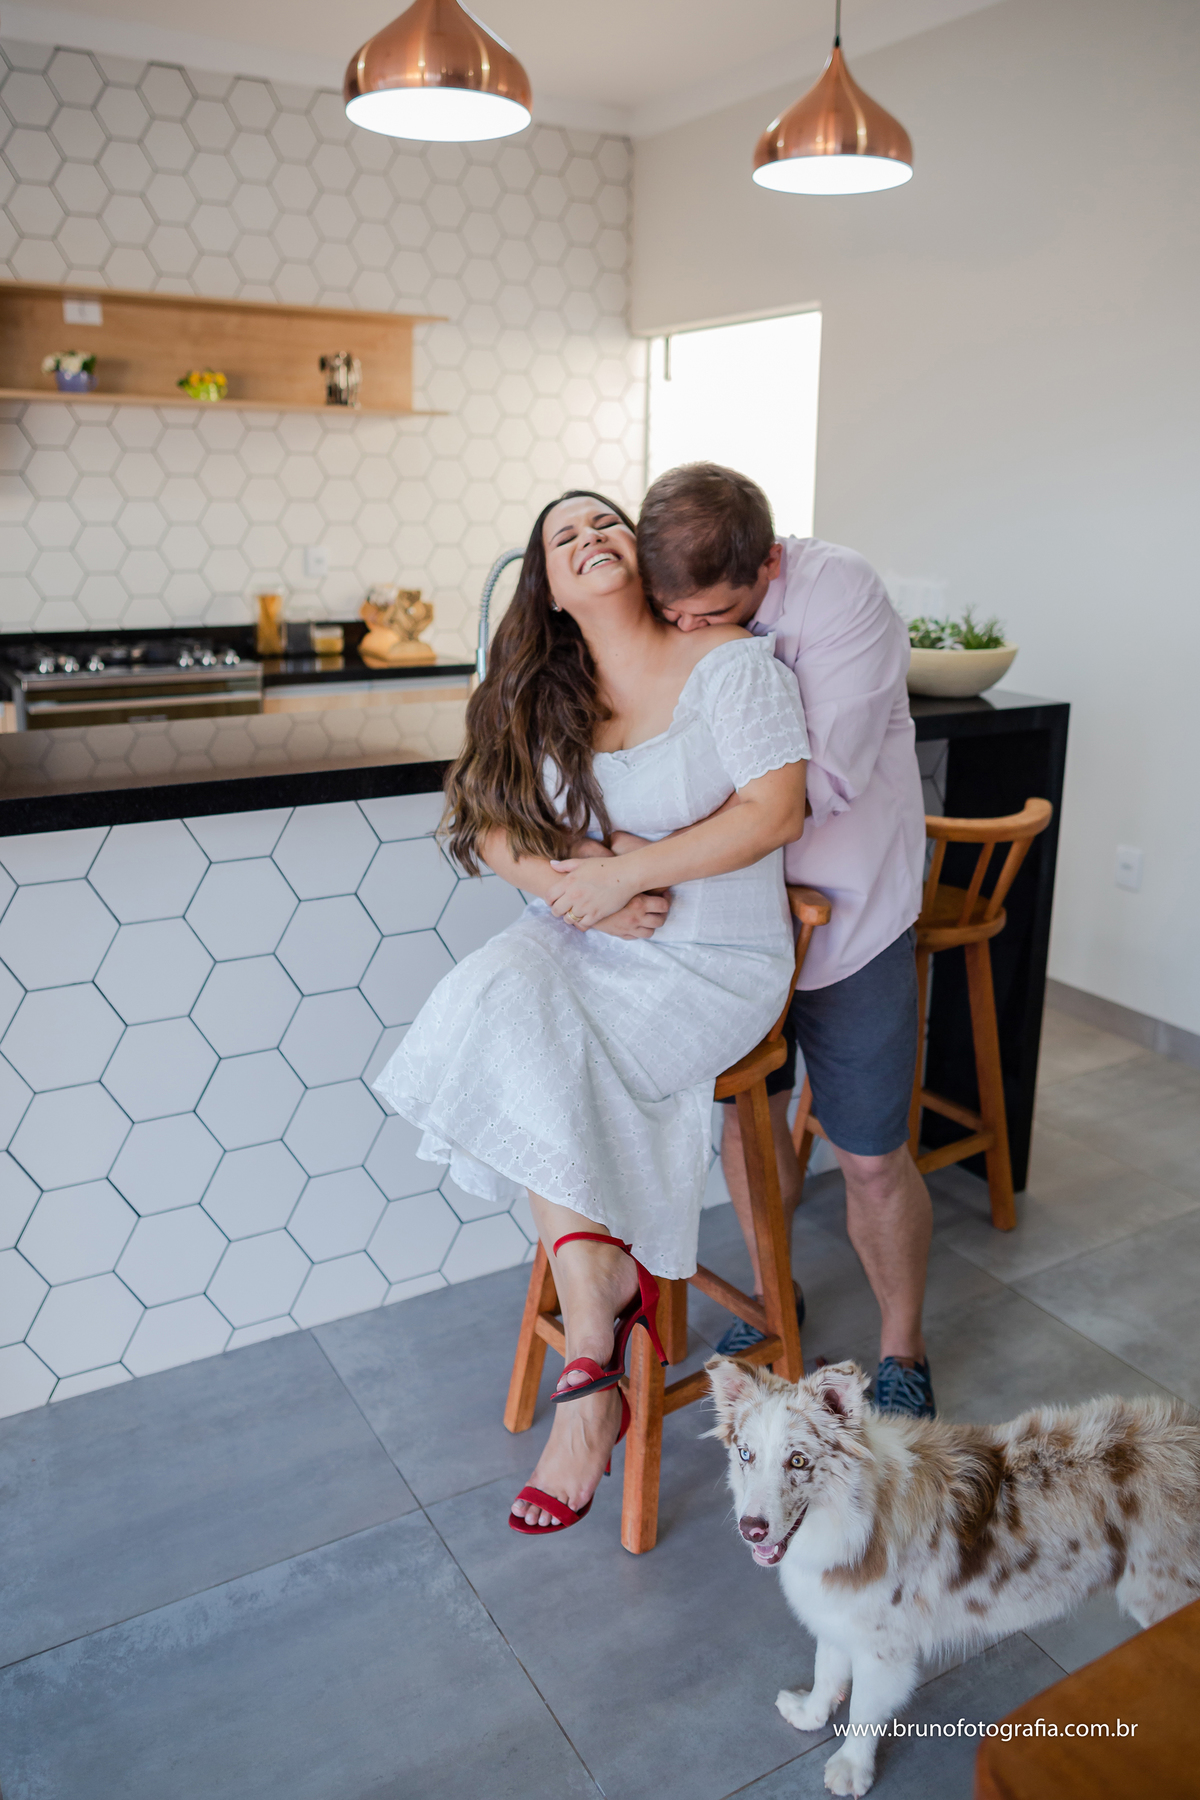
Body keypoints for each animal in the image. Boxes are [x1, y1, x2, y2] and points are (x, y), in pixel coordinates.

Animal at [706, 1356, 1200, 1798]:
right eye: (746, 1455)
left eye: (798, 1461)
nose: (751, 1529)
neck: (855, 1520)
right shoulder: (836, 1615)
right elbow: (826, 1672)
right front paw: (808, 1714)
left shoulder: (884, 1650)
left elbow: (863, 1711)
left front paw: (850, 1771)